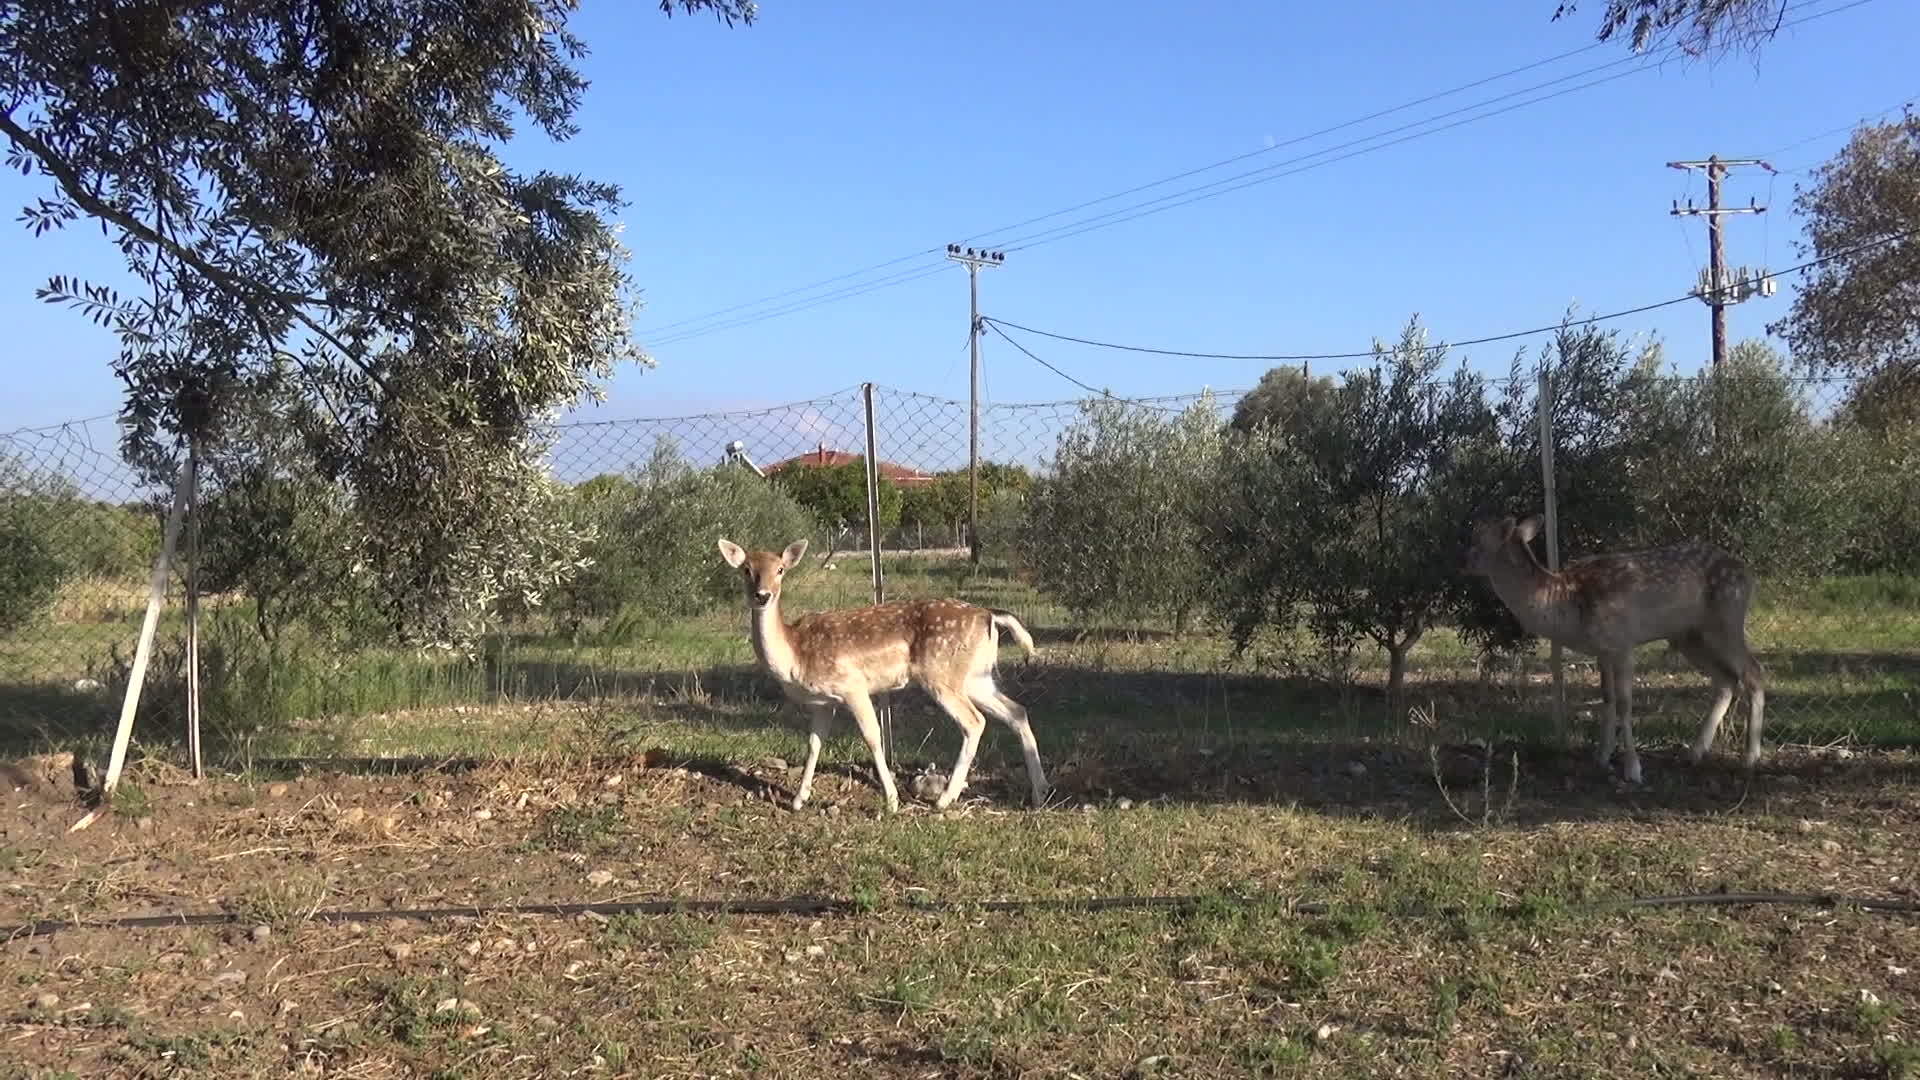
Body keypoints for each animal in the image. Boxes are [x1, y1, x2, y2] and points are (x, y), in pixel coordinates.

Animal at [718, 534, 1052, 810]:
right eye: (746, 569)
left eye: (780, 570)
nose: (762, 595)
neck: (795, 655)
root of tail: (990, 616)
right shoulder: (824, 702)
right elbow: (813, 744)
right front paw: (799, 800)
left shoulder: (852, 686)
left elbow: (873, 737)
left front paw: (891, 800)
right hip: (976, 677)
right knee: (1017, 711)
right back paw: (1039, 792)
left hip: (941, 675)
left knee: (974, 721)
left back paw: (944, 799)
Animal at [1466, 511, 1766, 780]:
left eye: (1478, 540)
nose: (1463, 563)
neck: (1565, 603)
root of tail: (1749, 573)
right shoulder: (1603, 650)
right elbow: (1607, 698)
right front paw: (1601, 757)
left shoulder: (1623, 642)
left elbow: (1624, 703)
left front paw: (1633, 769)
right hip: (1688, 636)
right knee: (1726, 679)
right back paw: (1694, 753)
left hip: (1726, 618)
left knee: (1753, 672)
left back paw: (1750, 758)